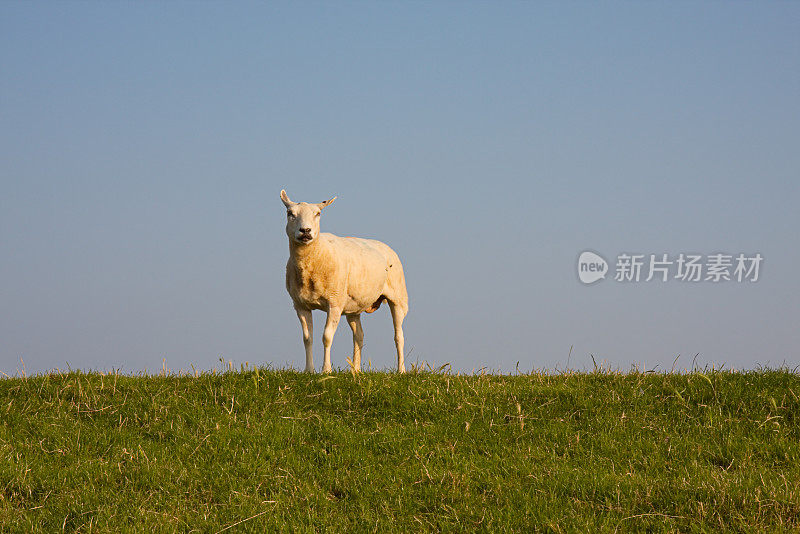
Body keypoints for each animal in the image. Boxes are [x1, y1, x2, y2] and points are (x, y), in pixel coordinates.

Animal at [282, 191, 410, 374]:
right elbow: (307, 338)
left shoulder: (334, 302)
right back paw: (355, 370)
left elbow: (327, 337)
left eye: (318, 214)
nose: (305, 230)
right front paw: (309, 370)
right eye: (290, 213)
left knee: (399, 336)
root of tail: (385, 246)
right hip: (354, 306)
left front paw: (326, 370)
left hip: (398, 297)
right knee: (359, 335)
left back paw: (401, 370)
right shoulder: (300, 305)